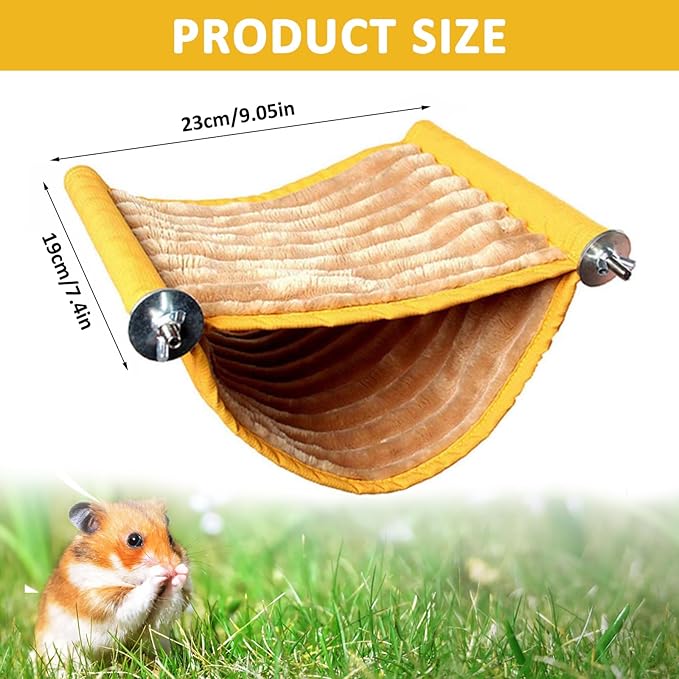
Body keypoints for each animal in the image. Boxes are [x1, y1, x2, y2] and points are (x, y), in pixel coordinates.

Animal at [35, 500, 191, 665]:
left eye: (170, 538)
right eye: (133, 540)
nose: (172, 567)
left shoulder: (155, 621)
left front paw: (181, 572)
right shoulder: (103, 602)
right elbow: (137, 597)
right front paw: (159, 573)